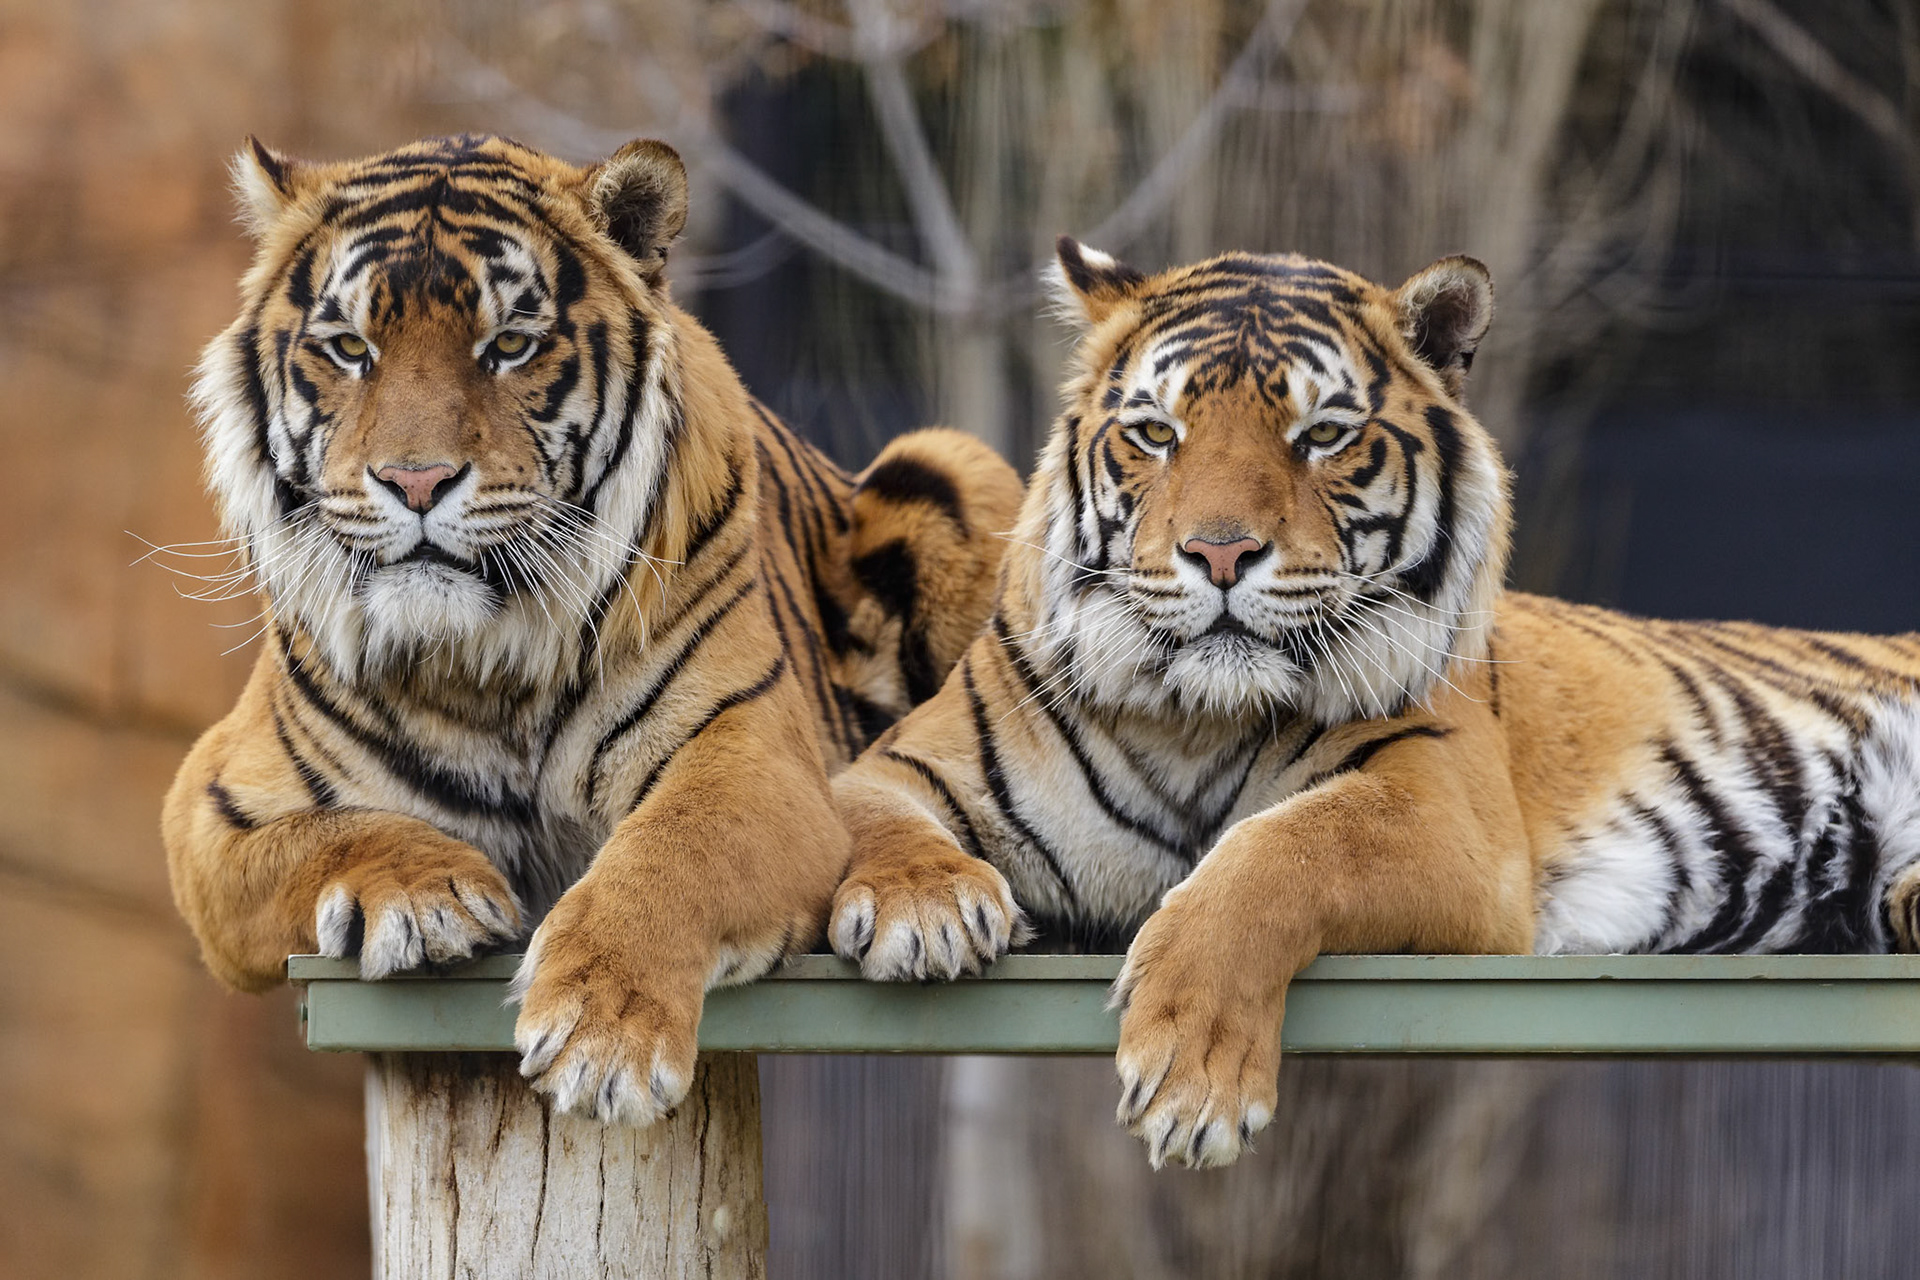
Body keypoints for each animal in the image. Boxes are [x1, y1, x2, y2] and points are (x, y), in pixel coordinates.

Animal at [161, 133, 1021, 1126]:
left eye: (509, 346)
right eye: (349, 349)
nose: (415, 482)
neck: (479, 664)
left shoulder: (754, 757)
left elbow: (670, 852)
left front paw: (603, 1036)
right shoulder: (207, 811)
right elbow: (330, 834)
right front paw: (431, 894)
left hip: (958, 466)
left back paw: (928, 903)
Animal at [827, 236, 1920, 1169]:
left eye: (1322, 435)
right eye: (1155, 432)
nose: (1218, 551)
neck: (1194, 716)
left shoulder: (1445, 813)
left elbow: (1280, 851)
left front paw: (1193, 1080)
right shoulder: (905, 761)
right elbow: (866, 815)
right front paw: (922, 907)